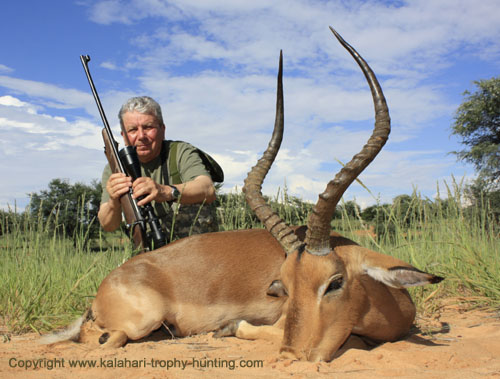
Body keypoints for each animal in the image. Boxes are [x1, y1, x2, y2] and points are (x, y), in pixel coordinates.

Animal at [42, 29, 442, 362]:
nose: (293, 356)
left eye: (335, 282)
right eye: (283, 287)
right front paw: (229, 329)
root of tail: (109, 282)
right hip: (140, 321)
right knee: (102, 337)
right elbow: (249, 329)